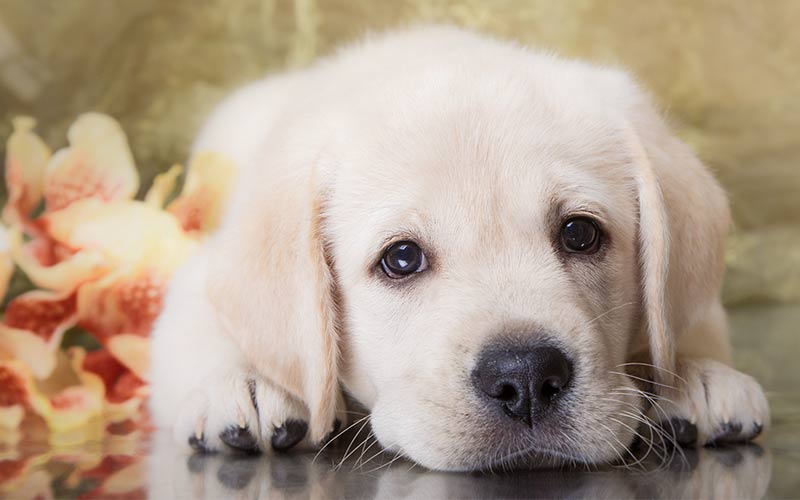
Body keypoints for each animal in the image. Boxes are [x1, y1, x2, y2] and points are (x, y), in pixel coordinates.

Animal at [148, 25, 768, 470]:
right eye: (401, 259)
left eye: (580, 234)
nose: (525, 379)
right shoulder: (196, 275)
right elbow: (204, 330)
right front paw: (245, 383)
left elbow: (688, 324)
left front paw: (697, 375)